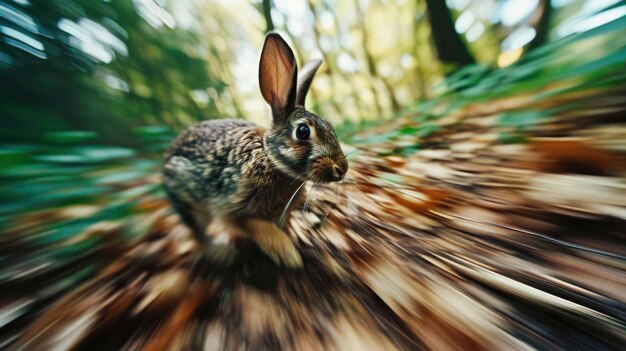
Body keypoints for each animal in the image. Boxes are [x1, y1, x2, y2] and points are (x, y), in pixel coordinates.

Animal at [161, 33, 346, 270]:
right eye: (303, 131)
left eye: (329, 125)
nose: (342, 168)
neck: (270, 159)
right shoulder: (231, 205)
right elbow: (260, 229)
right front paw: (288, 254)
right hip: (190, 203)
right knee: (198, 235)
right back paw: (221, 254)